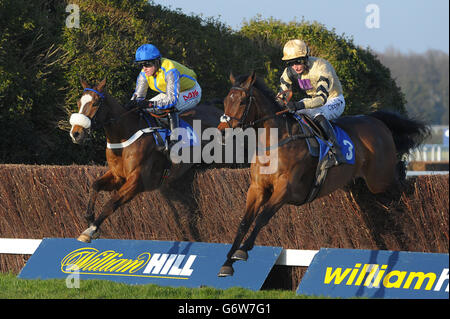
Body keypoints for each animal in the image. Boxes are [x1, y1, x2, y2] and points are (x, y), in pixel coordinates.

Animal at [69, 79, 222, 242]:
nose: (76, 133)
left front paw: (90, 231)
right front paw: (90, 219)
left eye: (96, 103)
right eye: (79, 102)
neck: (123, 137)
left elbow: (111, 203)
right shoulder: (118, 176)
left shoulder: (137, 181)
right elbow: (95, 185)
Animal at [216, 71, 430, 276]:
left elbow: (262, 218)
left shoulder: (285, 189)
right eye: (226, 100)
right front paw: (227, 263)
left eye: (242, 101)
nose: (222, 132)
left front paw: (241, 252)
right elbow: (244, 222)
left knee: (401, 182)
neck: (276, 141)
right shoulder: (257, 188)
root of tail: (376, 120)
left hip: (380, 179)